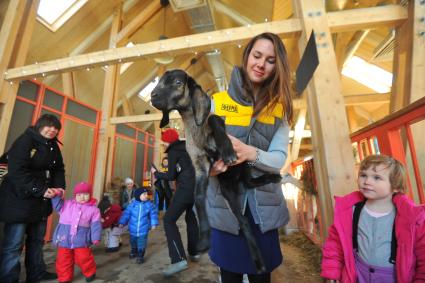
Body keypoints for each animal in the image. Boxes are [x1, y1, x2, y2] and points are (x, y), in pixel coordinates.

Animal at [150, 69, 282, 276]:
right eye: (161, 81)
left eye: (178, 82)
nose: (152, 96)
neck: (196, 128)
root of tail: (235, 179)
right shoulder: (201, 167)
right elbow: (198, 199)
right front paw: (204, 239)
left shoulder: (218, 125)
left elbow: (214, 118)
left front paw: (227, 151)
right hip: (228, 190)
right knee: (244, 219)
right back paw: (259, 263)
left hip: (244, 163)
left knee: (250, 183)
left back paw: (273, 176)